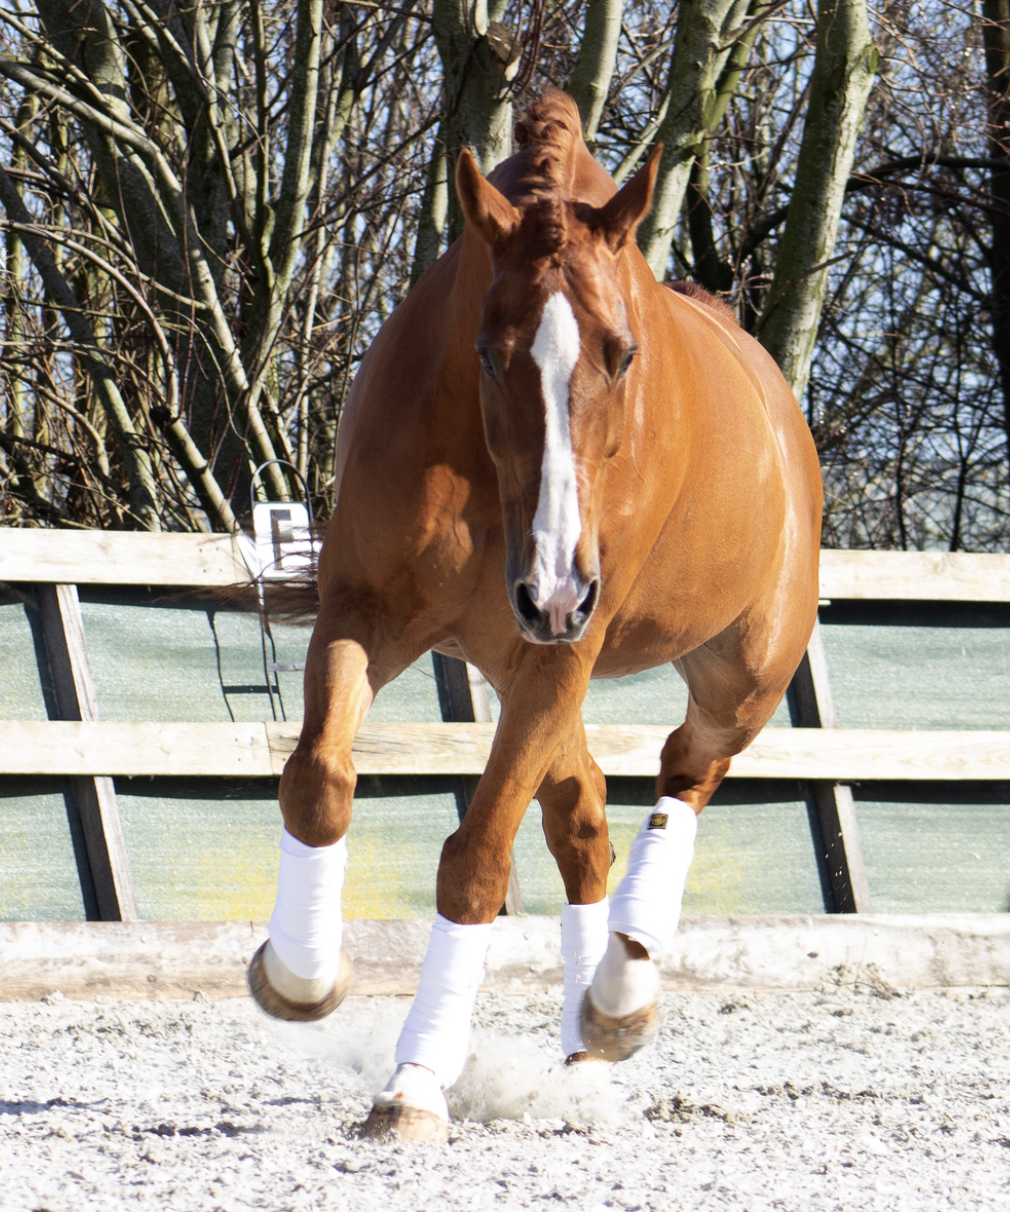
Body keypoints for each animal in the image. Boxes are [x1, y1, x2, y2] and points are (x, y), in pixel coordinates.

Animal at [247, 90, 822, 1142]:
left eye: (623, 355)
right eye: (489, 352)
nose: (553, 588)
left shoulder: (562, 651)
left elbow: (478, 857)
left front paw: (415, 1082)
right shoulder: (369, 612)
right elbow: (316, 779)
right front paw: (299, 977)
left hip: (735, 677)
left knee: (684, 777)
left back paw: (620, 998)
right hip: (520, 656)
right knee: (584, 814)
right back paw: (588, 1046)